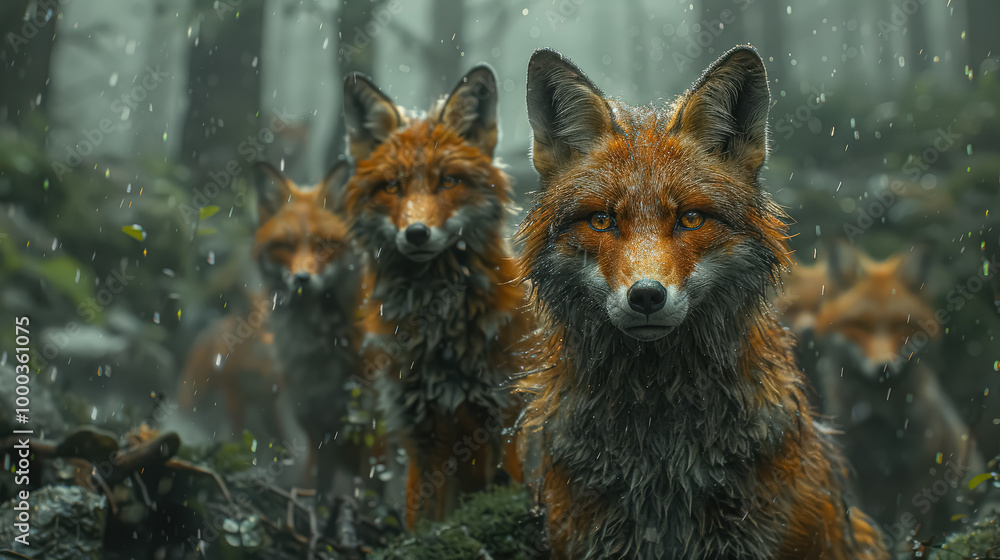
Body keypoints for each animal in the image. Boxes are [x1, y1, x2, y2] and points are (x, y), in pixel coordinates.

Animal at [252, 159, 376, 502]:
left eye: (323, 246)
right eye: (285, 246)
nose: (302, 280)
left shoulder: (373, 420)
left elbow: (374, 490)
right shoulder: (314, 420)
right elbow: (319, 486)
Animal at [341, 65, 530, 527]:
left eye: (448, 180)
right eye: (392, 186)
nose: (416, 233)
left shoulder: (508, 419)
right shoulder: (423, 437)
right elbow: (423, 527)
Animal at [813, 241, 984, 544]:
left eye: (900, 325)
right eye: (860, 325)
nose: (884, 368)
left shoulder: (920, 473)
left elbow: (907, 536)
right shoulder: (852, 467)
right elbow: (864, 522)